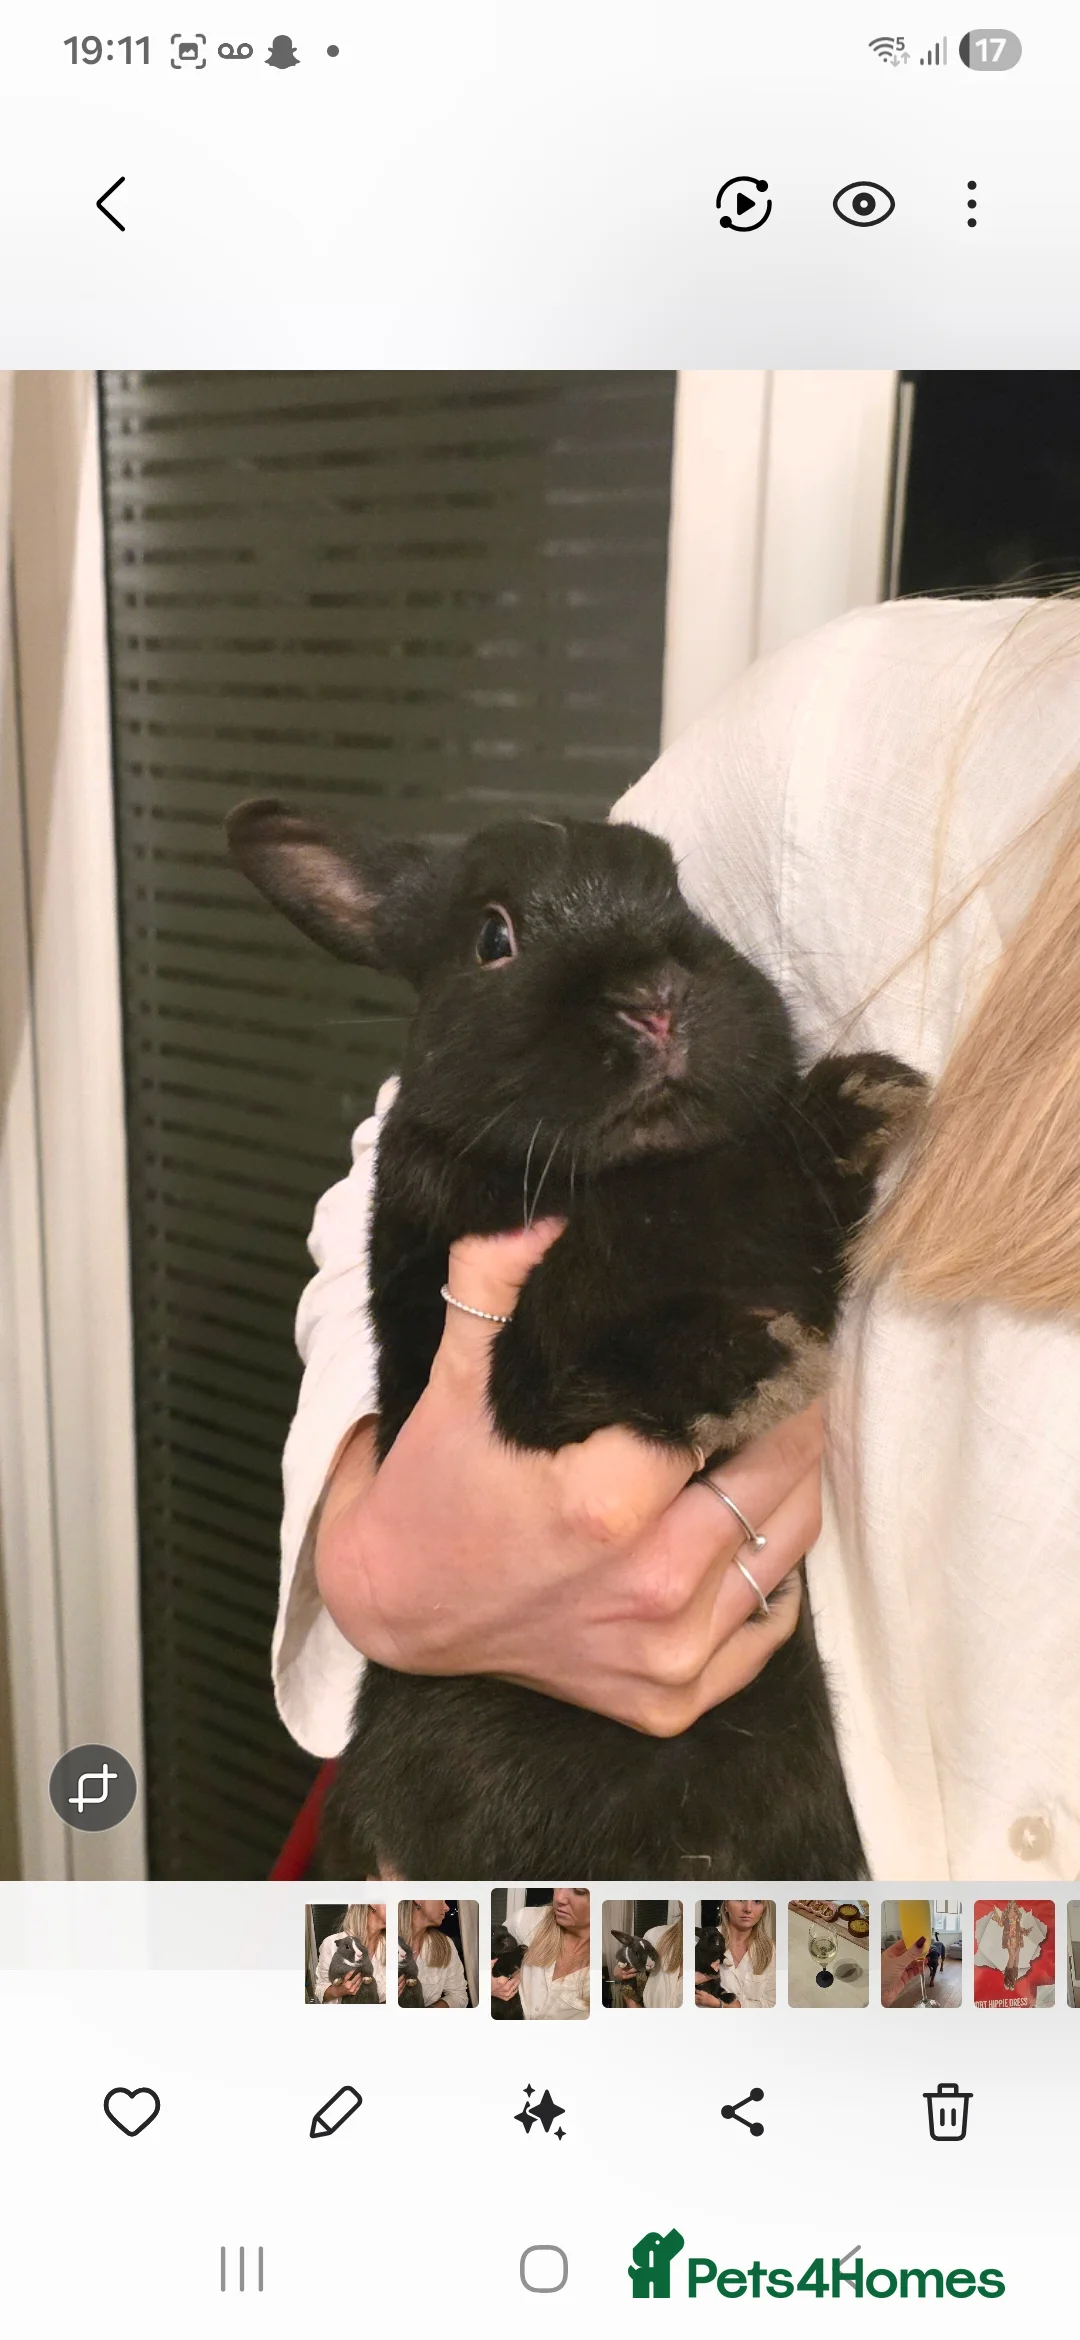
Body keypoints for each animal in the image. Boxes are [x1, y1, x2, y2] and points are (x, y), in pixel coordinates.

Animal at [226, 799, 925, 1882]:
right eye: (493, 938)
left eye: (679, 892)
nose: (656, 1001)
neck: (635, 1172)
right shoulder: (482, 1347)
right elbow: (561, 1321)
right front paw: (743, 1374)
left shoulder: (785, 1254)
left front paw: (864, 1097)